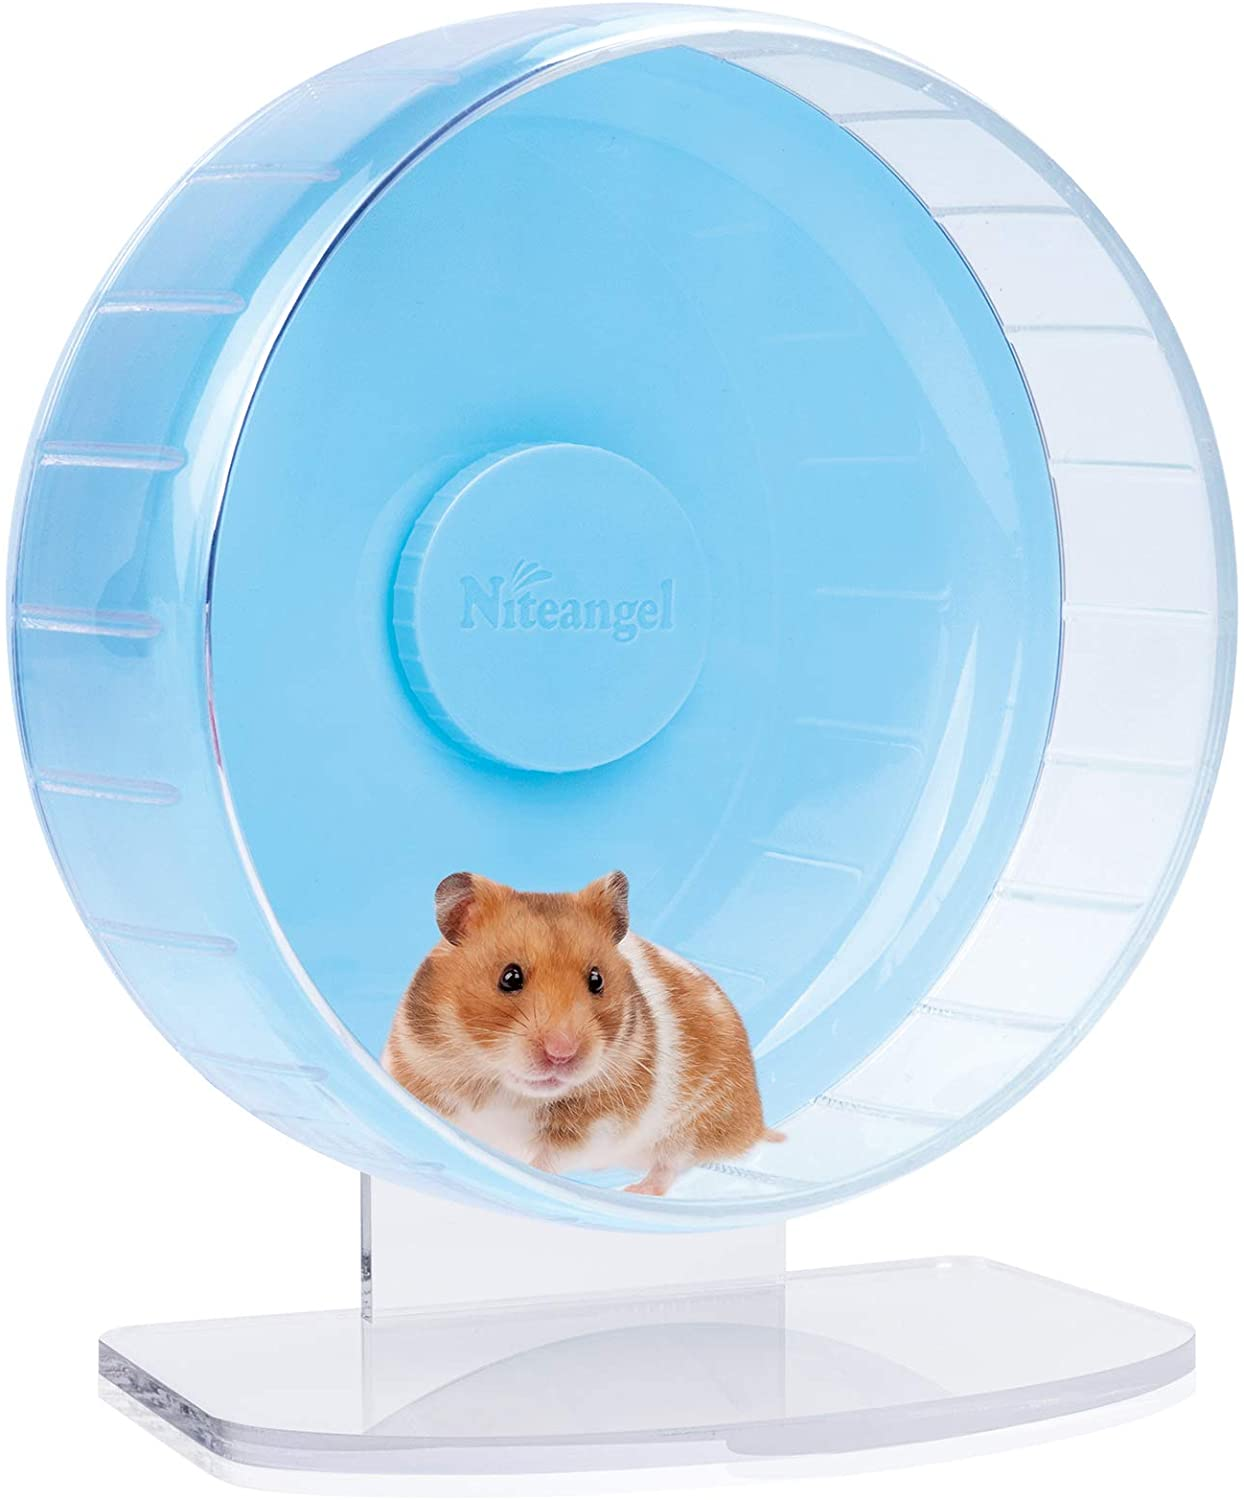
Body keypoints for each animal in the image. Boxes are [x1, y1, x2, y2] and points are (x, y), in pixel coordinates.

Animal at [382, 870, 783, 1195]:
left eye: (596, 979)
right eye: (509, 977)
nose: (562, 1053)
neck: (504, 1088)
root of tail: (755, 1122)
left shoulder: (596, 1125)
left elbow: (547, 1160)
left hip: (695, 1126)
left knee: (669, 1166)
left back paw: (634, 1191)